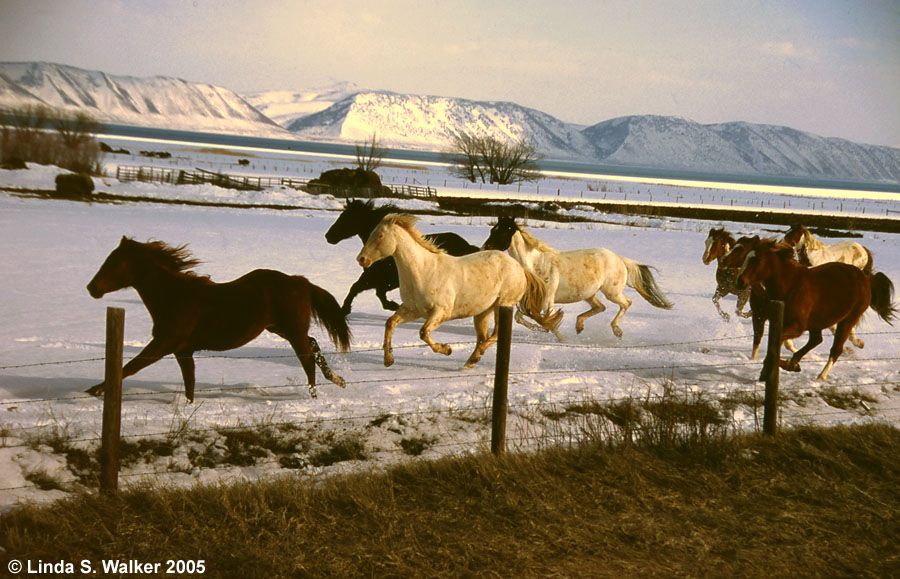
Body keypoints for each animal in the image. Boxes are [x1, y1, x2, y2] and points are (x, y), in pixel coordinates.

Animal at [85, 238, 352, 402]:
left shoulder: (164, 344)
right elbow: (189, 383)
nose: (92, 288)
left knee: (307, 360)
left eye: (115, 262)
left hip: (292, 331)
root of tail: (301, 281)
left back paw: (315, 395)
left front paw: (94, 389)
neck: (175, 296)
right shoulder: (183, 351)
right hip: (281, 329)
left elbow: (131, 366)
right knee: (313, 344)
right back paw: (337, 380)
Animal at [356, 213, 556, 368]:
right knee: (483, 337)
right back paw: (471, 361)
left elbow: (423, 333)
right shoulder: (412, 310)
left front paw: (447, 349)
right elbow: (390, 323)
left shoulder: (440, 313)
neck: (423, 270)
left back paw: (475, 357)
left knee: (495, 335)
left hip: (503, 305)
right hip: (483, 312)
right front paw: (388, 360)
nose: (361, 259)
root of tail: (519, 267)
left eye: (380, 236)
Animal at [482, 218, 672, 340]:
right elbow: (520, 318)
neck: (536, 264)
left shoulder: (547, 300)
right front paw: (541, 329)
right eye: (492, 230)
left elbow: (547, 319)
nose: (485, 247)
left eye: (503, 231)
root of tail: (620, 260)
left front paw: (561, 338)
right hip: (589, 294)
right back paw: (579, 326)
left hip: (612, 292)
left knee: (626, 303)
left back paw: (617, 330)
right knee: (600, 307)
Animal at [736, 238, 896, 382]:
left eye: (757, 259)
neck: (790, 286)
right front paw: (767, 373)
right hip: (818, 322)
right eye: (746, 257)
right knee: (816, 340)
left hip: (848, 320)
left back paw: (820, 376)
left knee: (835, 349)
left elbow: (777, 344)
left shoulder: (797, 327)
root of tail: (866, 279)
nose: (740, 281)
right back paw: (793, 364)